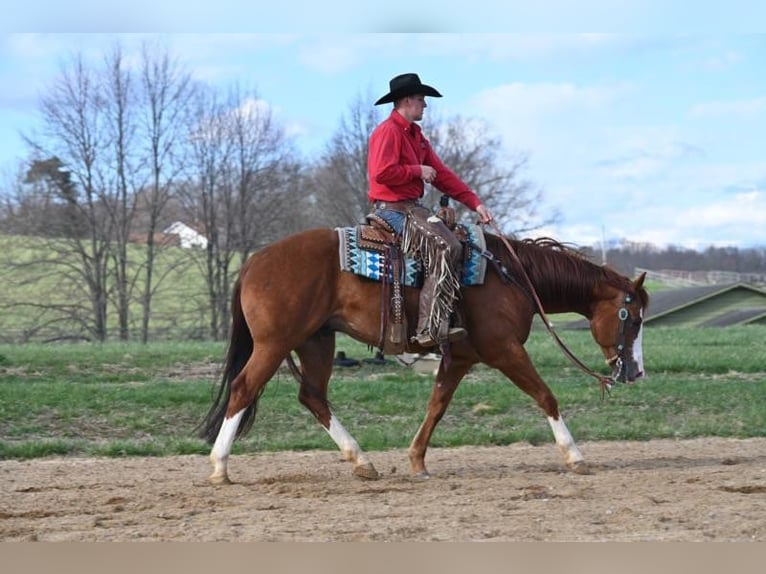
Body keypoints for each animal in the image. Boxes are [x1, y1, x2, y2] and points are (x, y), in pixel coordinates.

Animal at [198, 227, 648, 484]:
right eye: (632, 317)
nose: (635, 372)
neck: (513, 277)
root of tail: (255, 261)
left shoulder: (461, 358)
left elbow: (437, 406)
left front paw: (417, 461)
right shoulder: (504, 350)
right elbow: (545, 396)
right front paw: (575, 456)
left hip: (316, 342)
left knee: (312, 396)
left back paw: (361, 461)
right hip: (275, 344)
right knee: (243, 388)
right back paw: (219, 467)